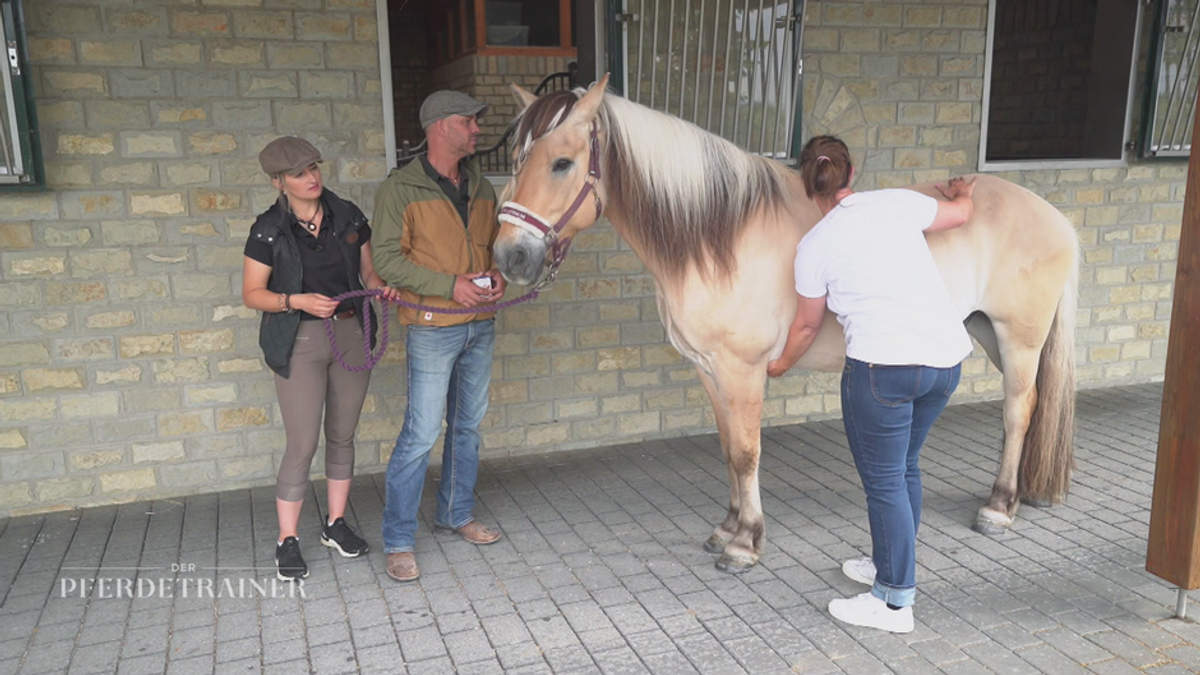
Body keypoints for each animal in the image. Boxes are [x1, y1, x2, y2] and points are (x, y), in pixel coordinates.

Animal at [492, 74, 1084, 571]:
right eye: (516, 157)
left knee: (1019, 410)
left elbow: (747, 451)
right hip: (987, 332)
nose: (509, 257)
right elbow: (728, 449)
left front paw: (745, 543)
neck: (719, 236)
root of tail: (1053, 216)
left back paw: (999, 507)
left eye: (562, 162)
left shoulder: (743, 370)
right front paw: (726, 528)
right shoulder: (709, 369)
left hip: (1019, 338)